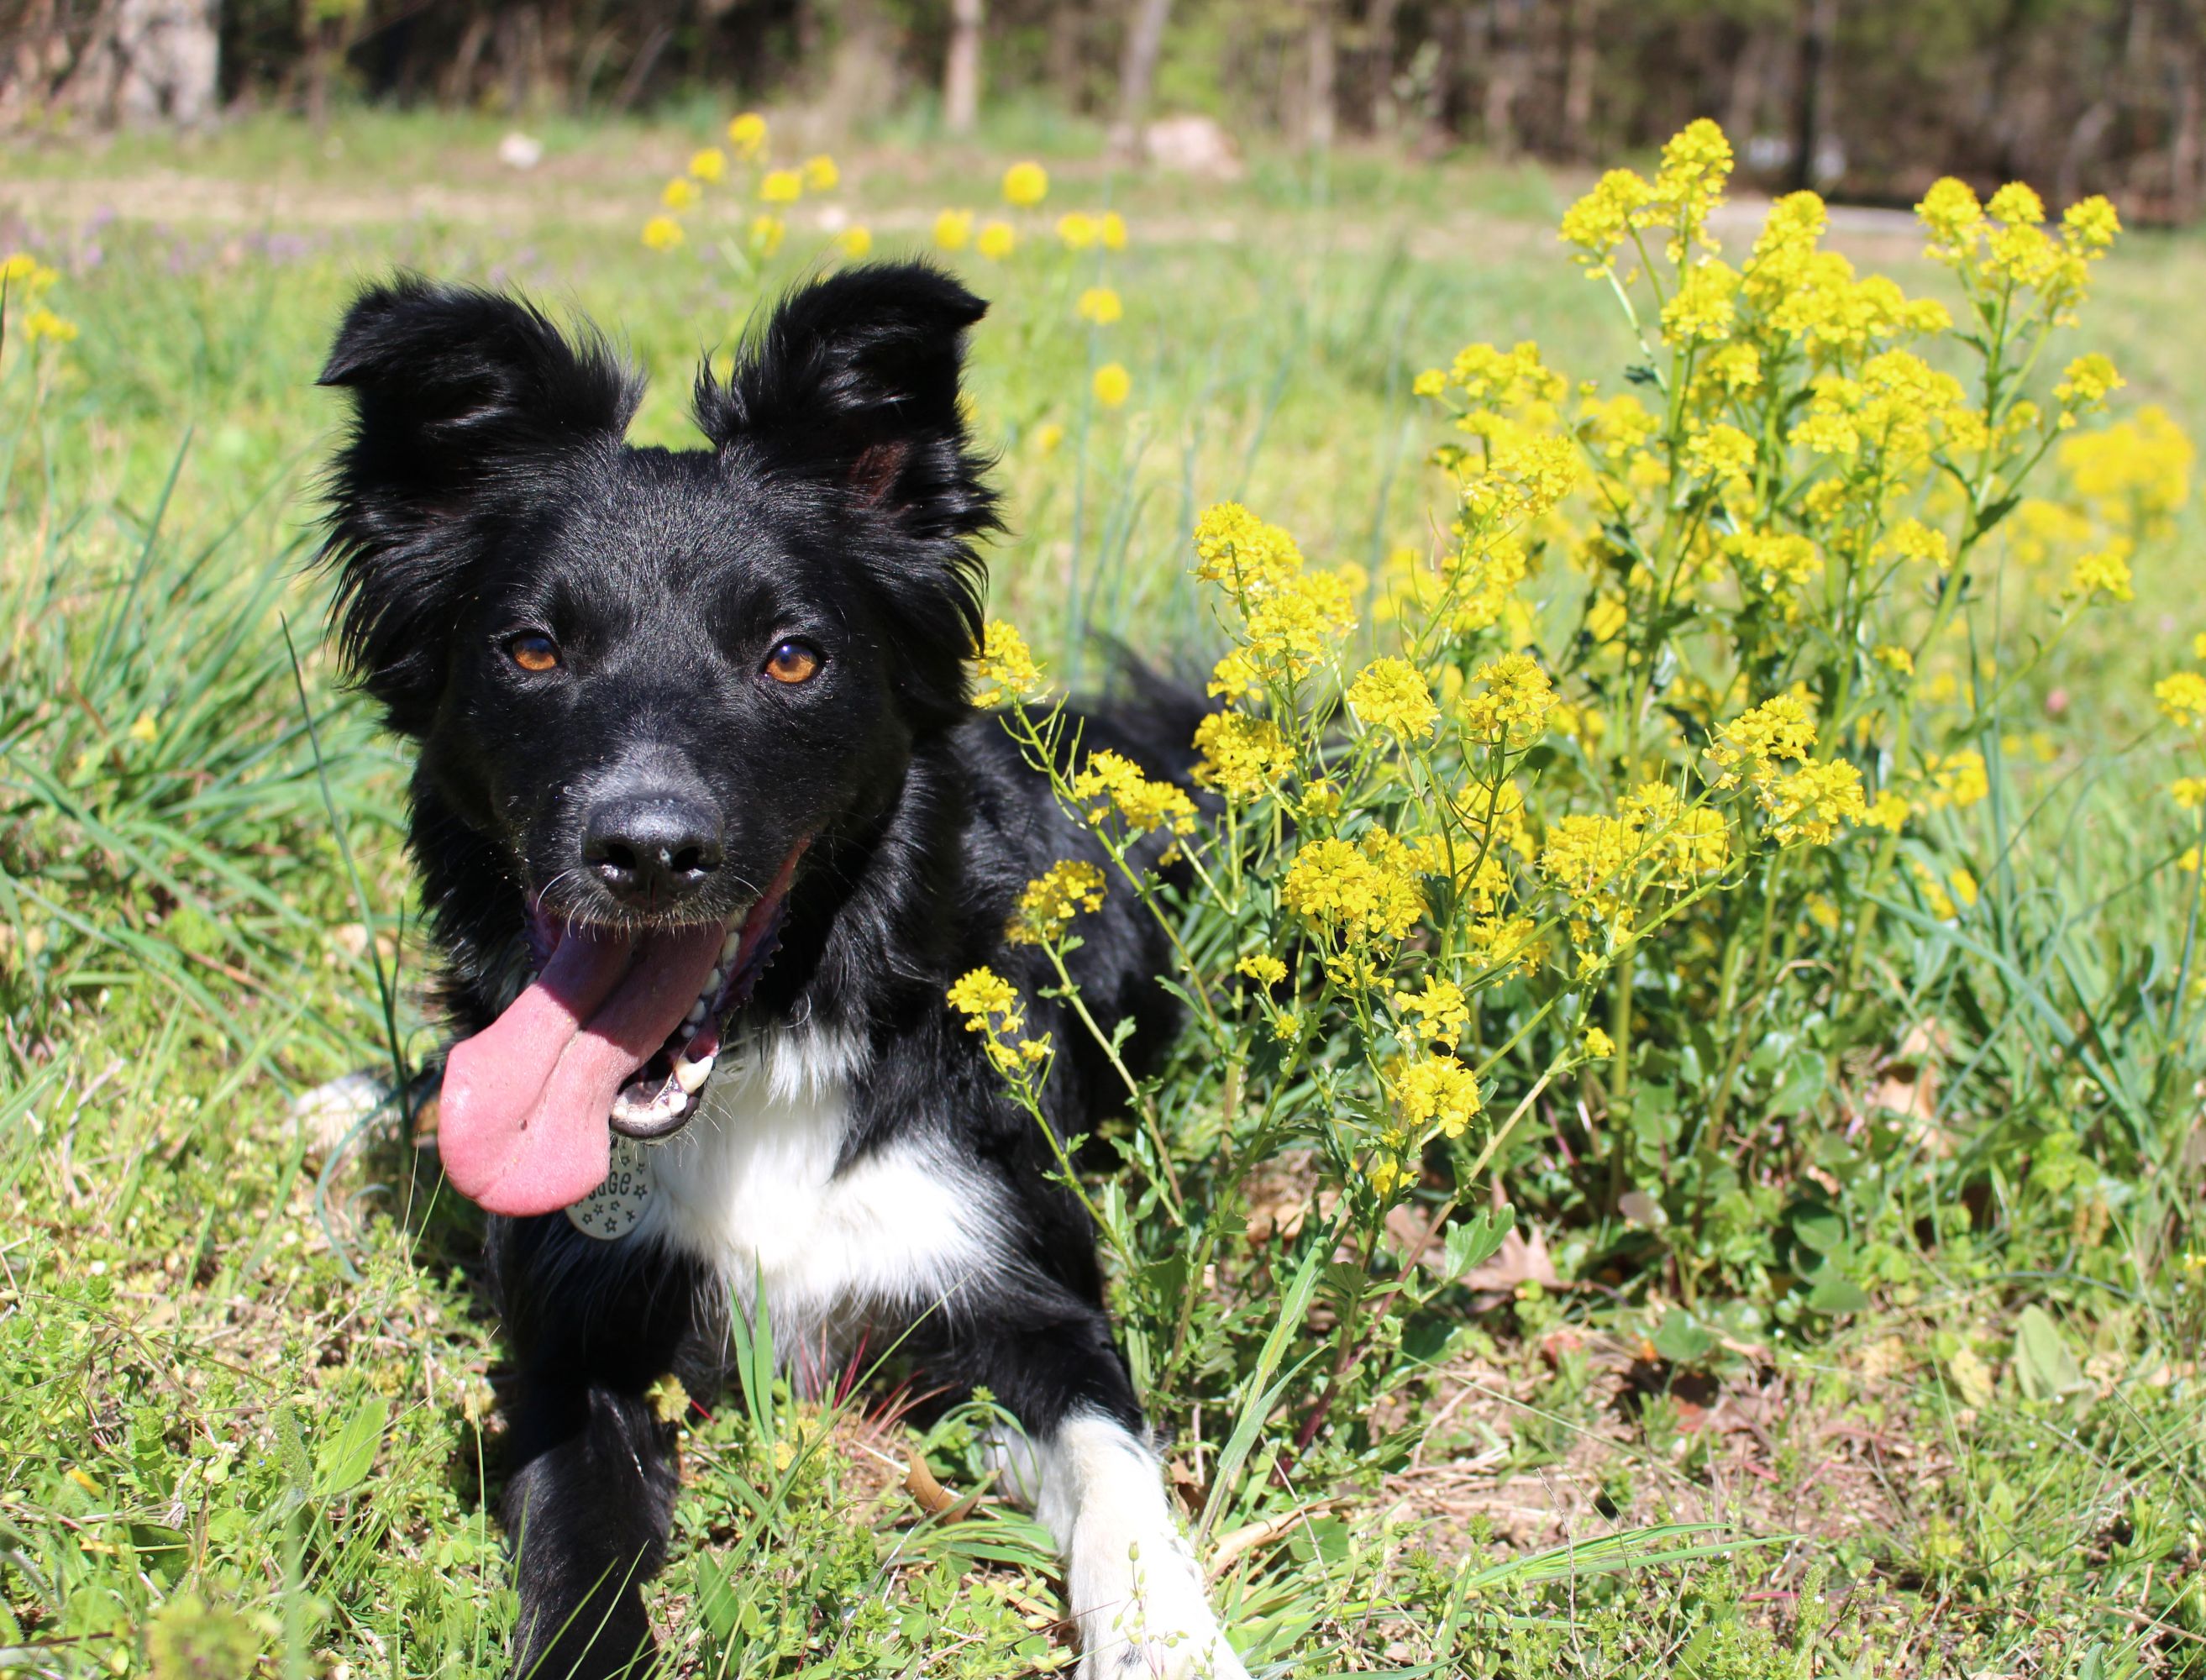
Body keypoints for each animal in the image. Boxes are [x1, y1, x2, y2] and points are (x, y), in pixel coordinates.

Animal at [318, 267, 1253, 1667]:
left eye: (791, 655)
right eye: (533, 649)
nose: (646, 852)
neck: (765, 1055)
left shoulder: (1014, 1289)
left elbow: (1115, 1474)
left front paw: (1168, 1641)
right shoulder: (570, 1339)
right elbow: (574, 1548)